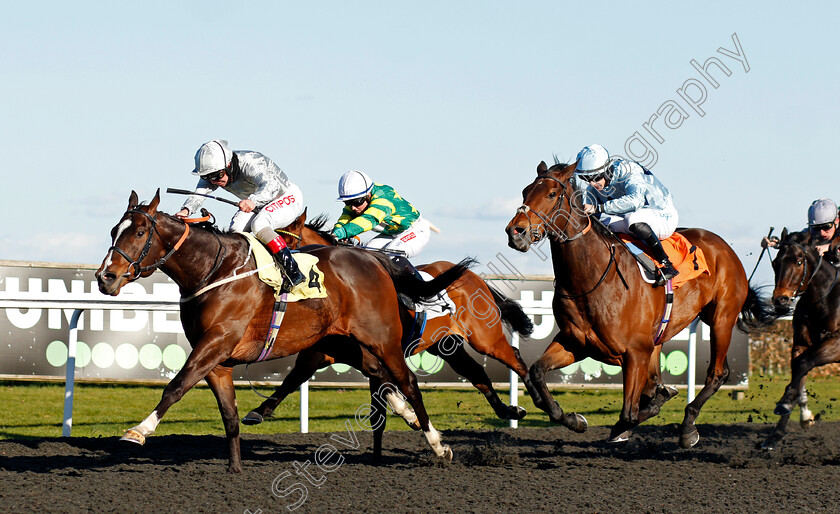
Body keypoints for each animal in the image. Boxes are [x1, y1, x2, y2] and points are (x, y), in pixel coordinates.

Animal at [97, 190, 472, 470]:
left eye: (140, 233)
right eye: (114, 231)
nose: (105, 277)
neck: (213, 270)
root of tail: (375, 260)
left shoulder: (216, 342)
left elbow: (176, 386)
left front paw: (139, 430)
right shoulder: (217, 359)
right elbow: (229, 414)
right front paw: (235, 469)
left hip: (383, 339)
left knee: (408, 382)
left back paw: (438, 446)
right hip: (340, 341)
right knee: (380, 375)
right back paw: (410, 418)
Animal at [502, 160, 772, 444]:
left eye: (552, 194)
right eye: (525, 191)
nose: (515, 232)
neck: (592, 279)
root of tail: (724, 246)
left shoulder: (635, 352)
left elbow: (629, 414)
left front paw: (637, 416)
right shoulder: (576, 343)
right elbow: (537, 372)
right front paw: (575, 420)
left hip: (721, 318)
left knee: (717, 373)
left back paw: (688, 427)